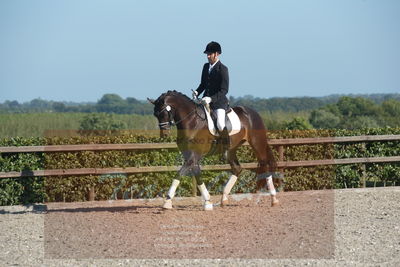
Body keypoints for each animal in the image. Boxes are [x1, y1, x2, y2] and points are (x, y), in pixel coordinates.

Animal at [148, 91, 280, 210]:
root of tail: (253, 113)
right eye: (155, 114)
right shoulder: (191, 157)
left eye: (164, 112)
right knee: (237, 168)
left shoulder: (194, 156)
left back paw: (274, 199)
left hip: (257, 144)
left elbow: (179, 174)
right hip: (230, 150)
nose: (164, 134)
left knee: (265, 166)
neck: (192, 121)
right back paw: (223, 199)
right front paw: (208, 202)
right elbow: (198, 177)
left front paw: (167, 202)